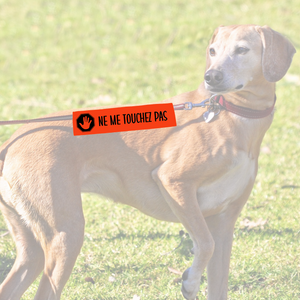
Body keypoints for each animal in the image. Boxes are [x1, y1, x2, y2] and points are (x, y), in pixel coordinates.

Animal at [0, 24, 296, 298]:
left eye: (242, 49)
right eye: (213, 51)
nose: (211, 76)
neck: (229, 113)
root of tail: (11, 142)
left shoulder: (224, 224)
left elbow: (217, 275)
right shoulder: (174, 183)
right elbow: (205, 244)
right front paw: (190, 282)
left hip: (33, 249)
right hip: (66, 235)